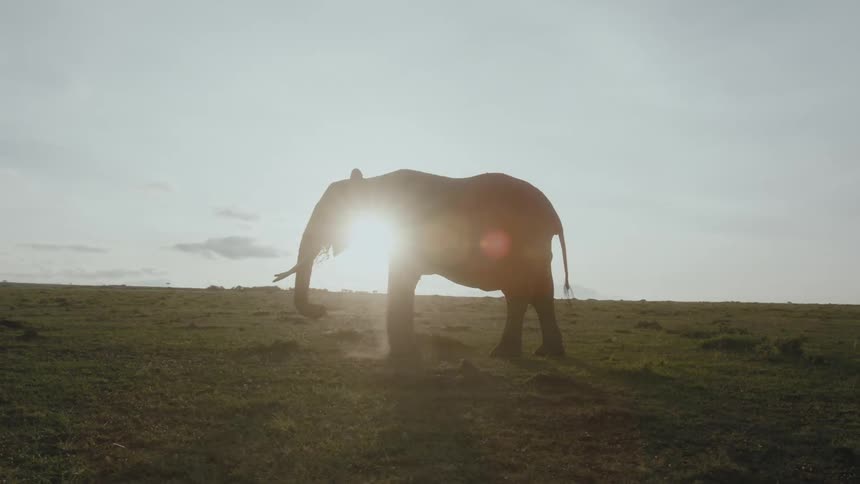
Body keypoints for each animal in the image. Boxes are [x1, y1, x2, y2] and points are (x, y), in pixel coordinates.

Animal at [273, 168, 571, 358]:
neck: (373, 182)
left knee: (519, 292)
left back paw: (504, 353)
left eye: (331, 213)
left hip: (520, 242)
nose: (321, 309)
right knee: (540, 292)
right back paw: (545, 353)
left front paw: (402, 355)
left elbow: (402, 278)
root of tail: (554, 215)